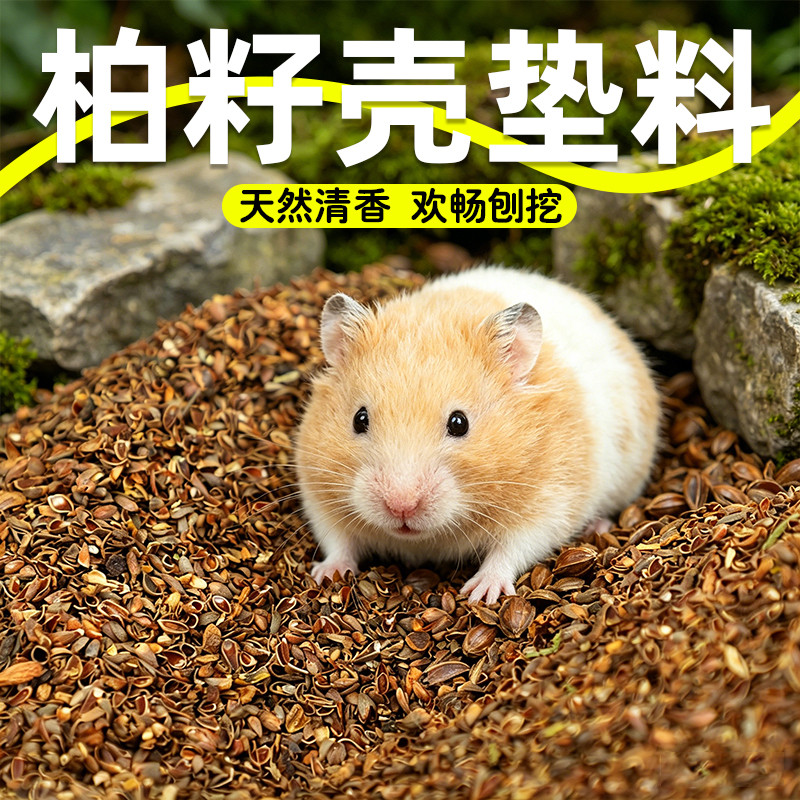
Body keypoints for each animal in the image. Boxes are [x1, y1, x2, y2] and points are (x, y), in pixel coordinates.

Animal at [295, 266, 660, 604]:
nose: (401, 507)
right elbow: (338, 539)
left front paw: (480, 594)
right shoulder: (317, 492)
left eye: (460, 423)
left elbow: (512, 549)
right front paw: (325, 575)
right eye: (359, 419)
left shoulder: (551, 500)